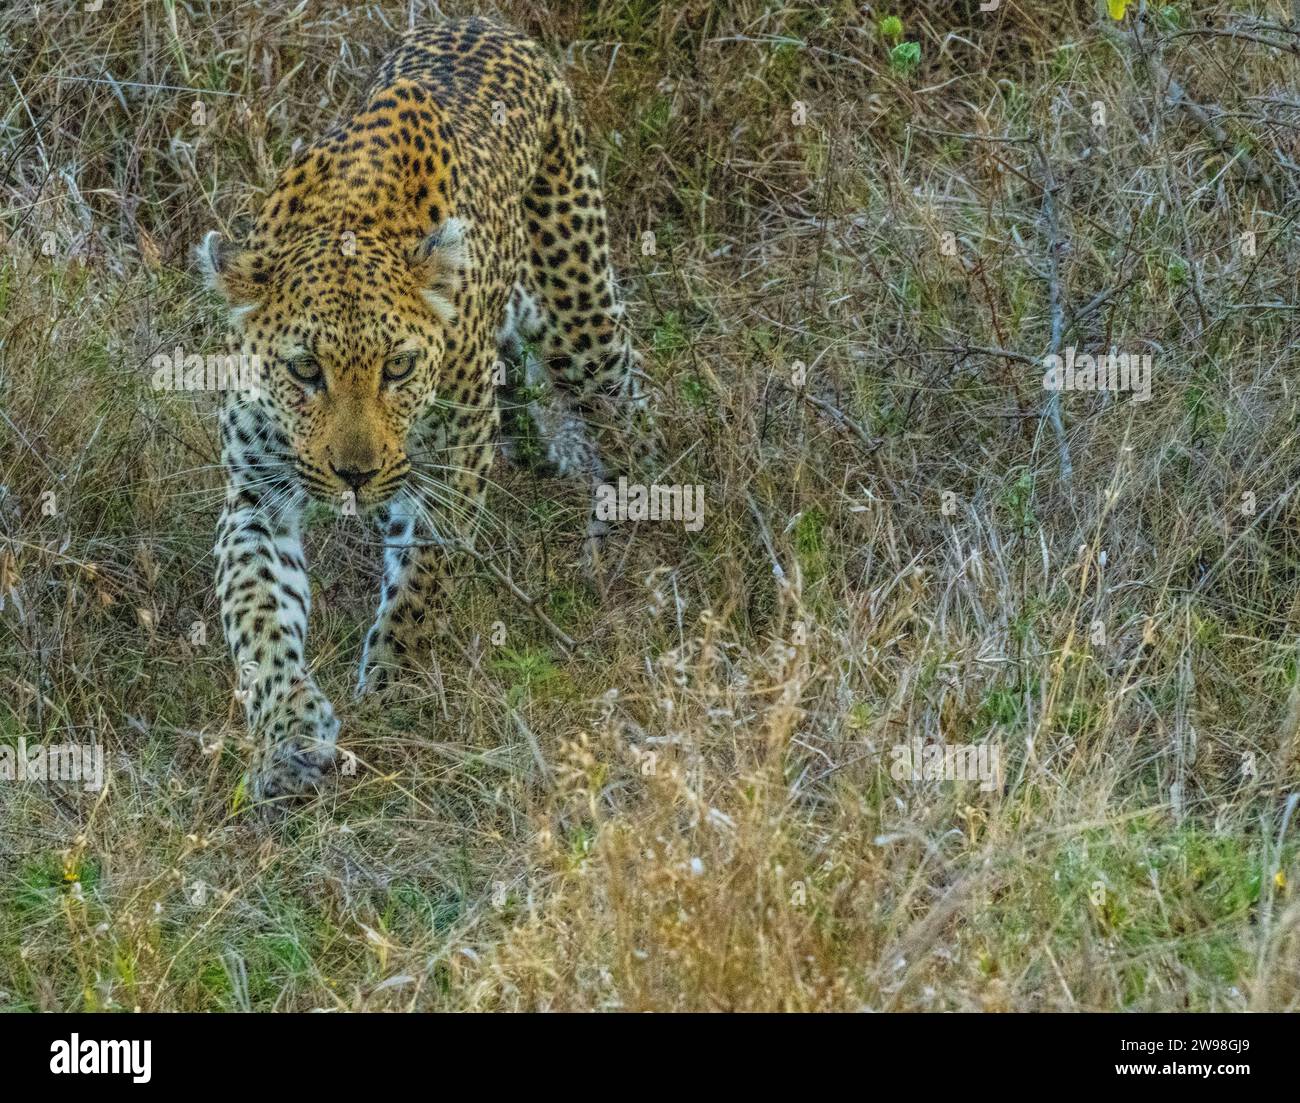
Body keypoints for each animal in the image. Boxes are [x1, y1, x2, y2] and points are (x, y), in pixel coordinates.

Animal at [195, 17, 650, 806]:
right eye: (305, 369)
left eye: (399, 367)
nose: (353, 474)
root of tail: (488, 23)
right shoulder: (256, 495)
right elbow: (257, 614)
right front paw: (290, 736)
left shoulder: (453, 466)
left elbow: (420, 584)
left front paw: (392, 686)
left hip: (584, 325)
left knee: (627, 397)